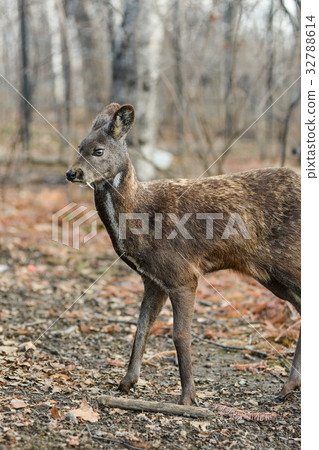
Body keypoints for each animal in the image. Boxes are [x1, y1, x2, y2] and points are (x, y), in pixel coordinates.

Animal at [66, 103, 302, 406]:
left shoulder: (182, 274)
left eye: (98, 150)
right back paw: (289, 386)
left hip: (288, 258)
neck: (139, 217)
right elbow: (141, 328)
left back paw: (288, 385)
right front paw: (127, 382)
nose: (72, 173)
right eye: (80, 146)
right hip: (271, 275)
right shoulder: (153, 279)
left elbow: (180, 335)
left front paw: (188, 396)